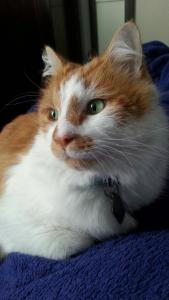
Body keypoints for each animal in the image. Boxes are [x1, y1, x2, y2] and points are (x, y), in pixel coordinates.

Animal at [0, 21, 168, 260]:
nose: (60, 139)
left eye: (95, 107)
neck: (103, 180)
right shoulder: (13, 224)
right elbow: (74, 241)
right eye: (53, 115)